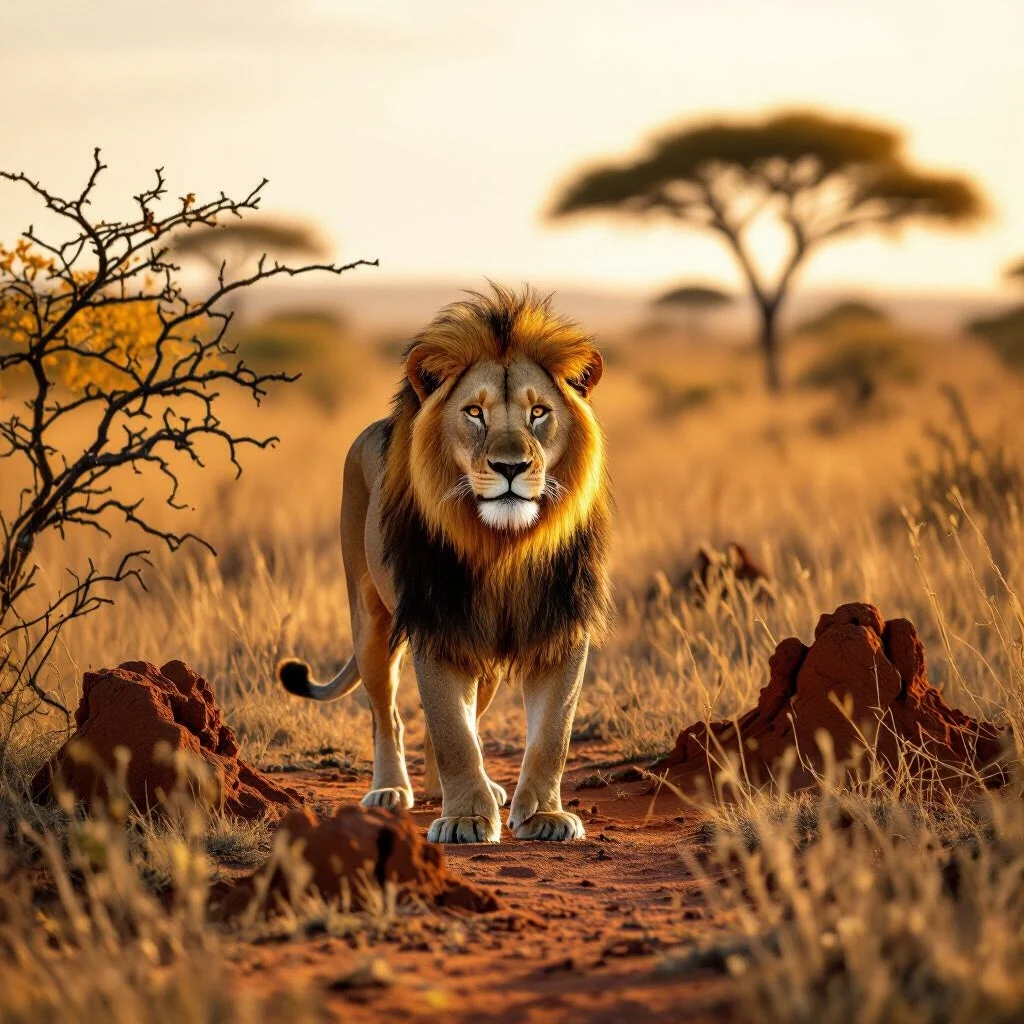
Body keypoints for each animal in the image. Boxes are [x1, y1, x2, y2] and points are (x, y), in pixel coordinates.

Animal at [277, 285, 611, 843]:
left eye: (539, 413)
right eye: (474, 412)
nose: (511, 467)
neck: (504, 545)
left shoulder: (559, 626)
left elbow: (551, 735)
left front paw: (542, 816)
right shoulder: (436, 624)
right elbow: (452, 731)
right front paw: (465, 820)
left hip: (483, 654)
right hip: (371, 620)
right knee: (388, 716)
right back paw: (392, 790)